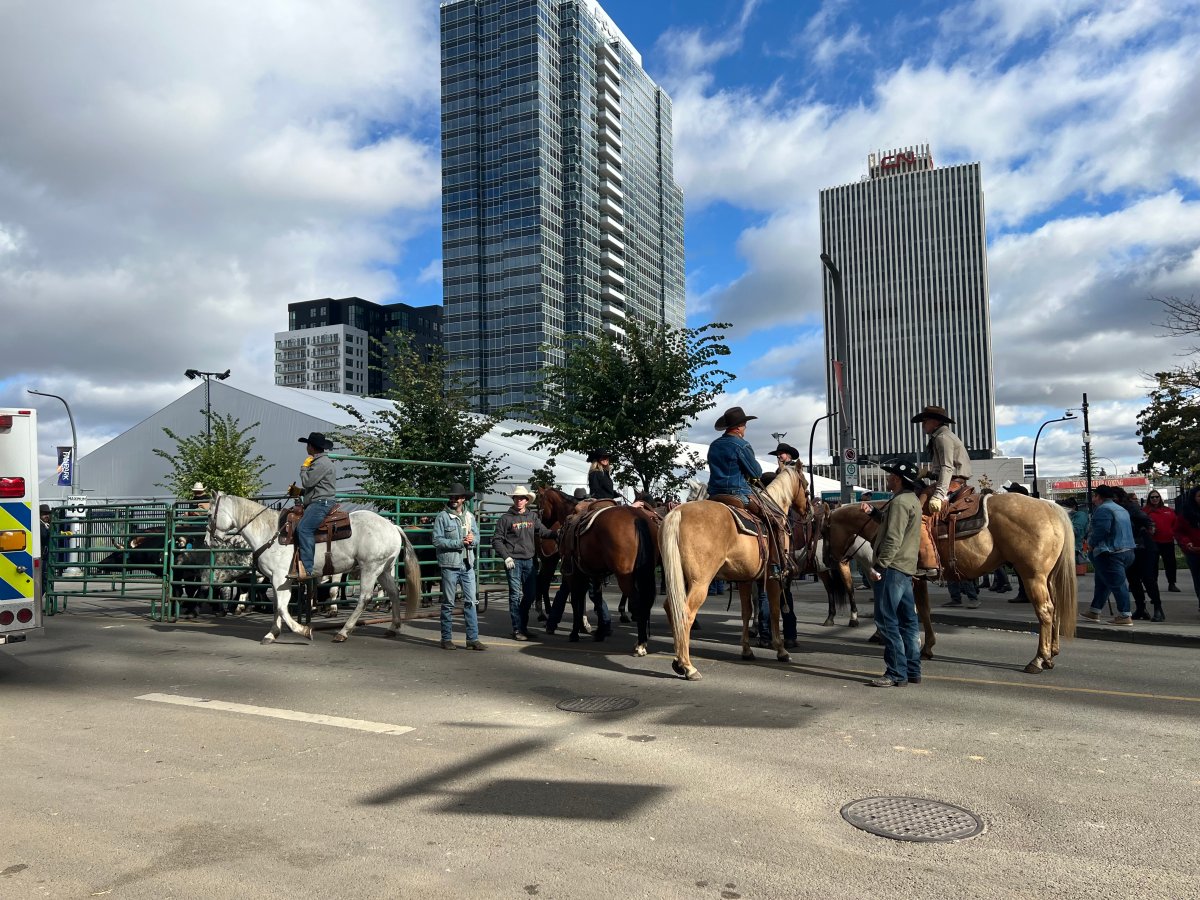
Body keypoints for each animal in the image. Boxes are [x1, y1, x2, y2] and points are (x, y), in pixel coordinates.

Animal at [208, 494, 424, 648]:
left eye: (210, 514)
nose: (208, 541)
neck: (270, 533)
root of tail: (393, 526)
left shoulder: (280, 578)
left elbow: (282, 608)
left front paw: (303, 630)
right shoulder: (275, 580)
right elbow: (278, 606)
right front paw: (272, 634)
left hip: (370, 568)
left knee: (365, 598)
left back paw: (343, 632)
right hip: (384, 569)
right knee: (394, 593)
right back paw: (393, 627)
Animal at [537, 487, 662, 657]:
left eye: (539, 502)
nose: (542, 527)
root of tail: (638, 518)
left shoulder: (574, 574)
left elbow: (577, 600)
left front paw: (575, 633)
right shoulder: (594, 573)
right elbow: (596, 598)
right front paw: (600, 632)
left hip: (623, 576)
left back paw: (640, 644)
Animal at [662, 465, 811, 681]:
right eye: (806, 485)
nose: (809, 511)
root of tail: (678, 512)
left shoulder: (745, 579)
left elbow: (746, 612)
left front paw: (747, 650)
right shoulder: (773, 579)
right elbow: (775, 611)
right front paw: (781, 650)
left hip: (680, 579)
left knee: (670, 608)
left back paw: (677, 661)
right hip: (700, 582)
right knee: (685, 613)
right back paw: (688, 666)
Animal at [825, 494, 1080, 676]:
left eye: (824, 529)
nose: (827, 561)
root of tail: (1049, 506)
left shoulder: (904, 577)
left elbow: (910, 610)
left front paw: (909, 643)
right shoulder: (916, 579)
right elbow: (923, 611)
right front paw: (925, 647)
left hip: (1032, 576)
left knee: (1045, 611)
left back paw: (1038, 659)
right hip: (1048, 577)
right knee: (1056, 610)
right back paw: (1051, 655)